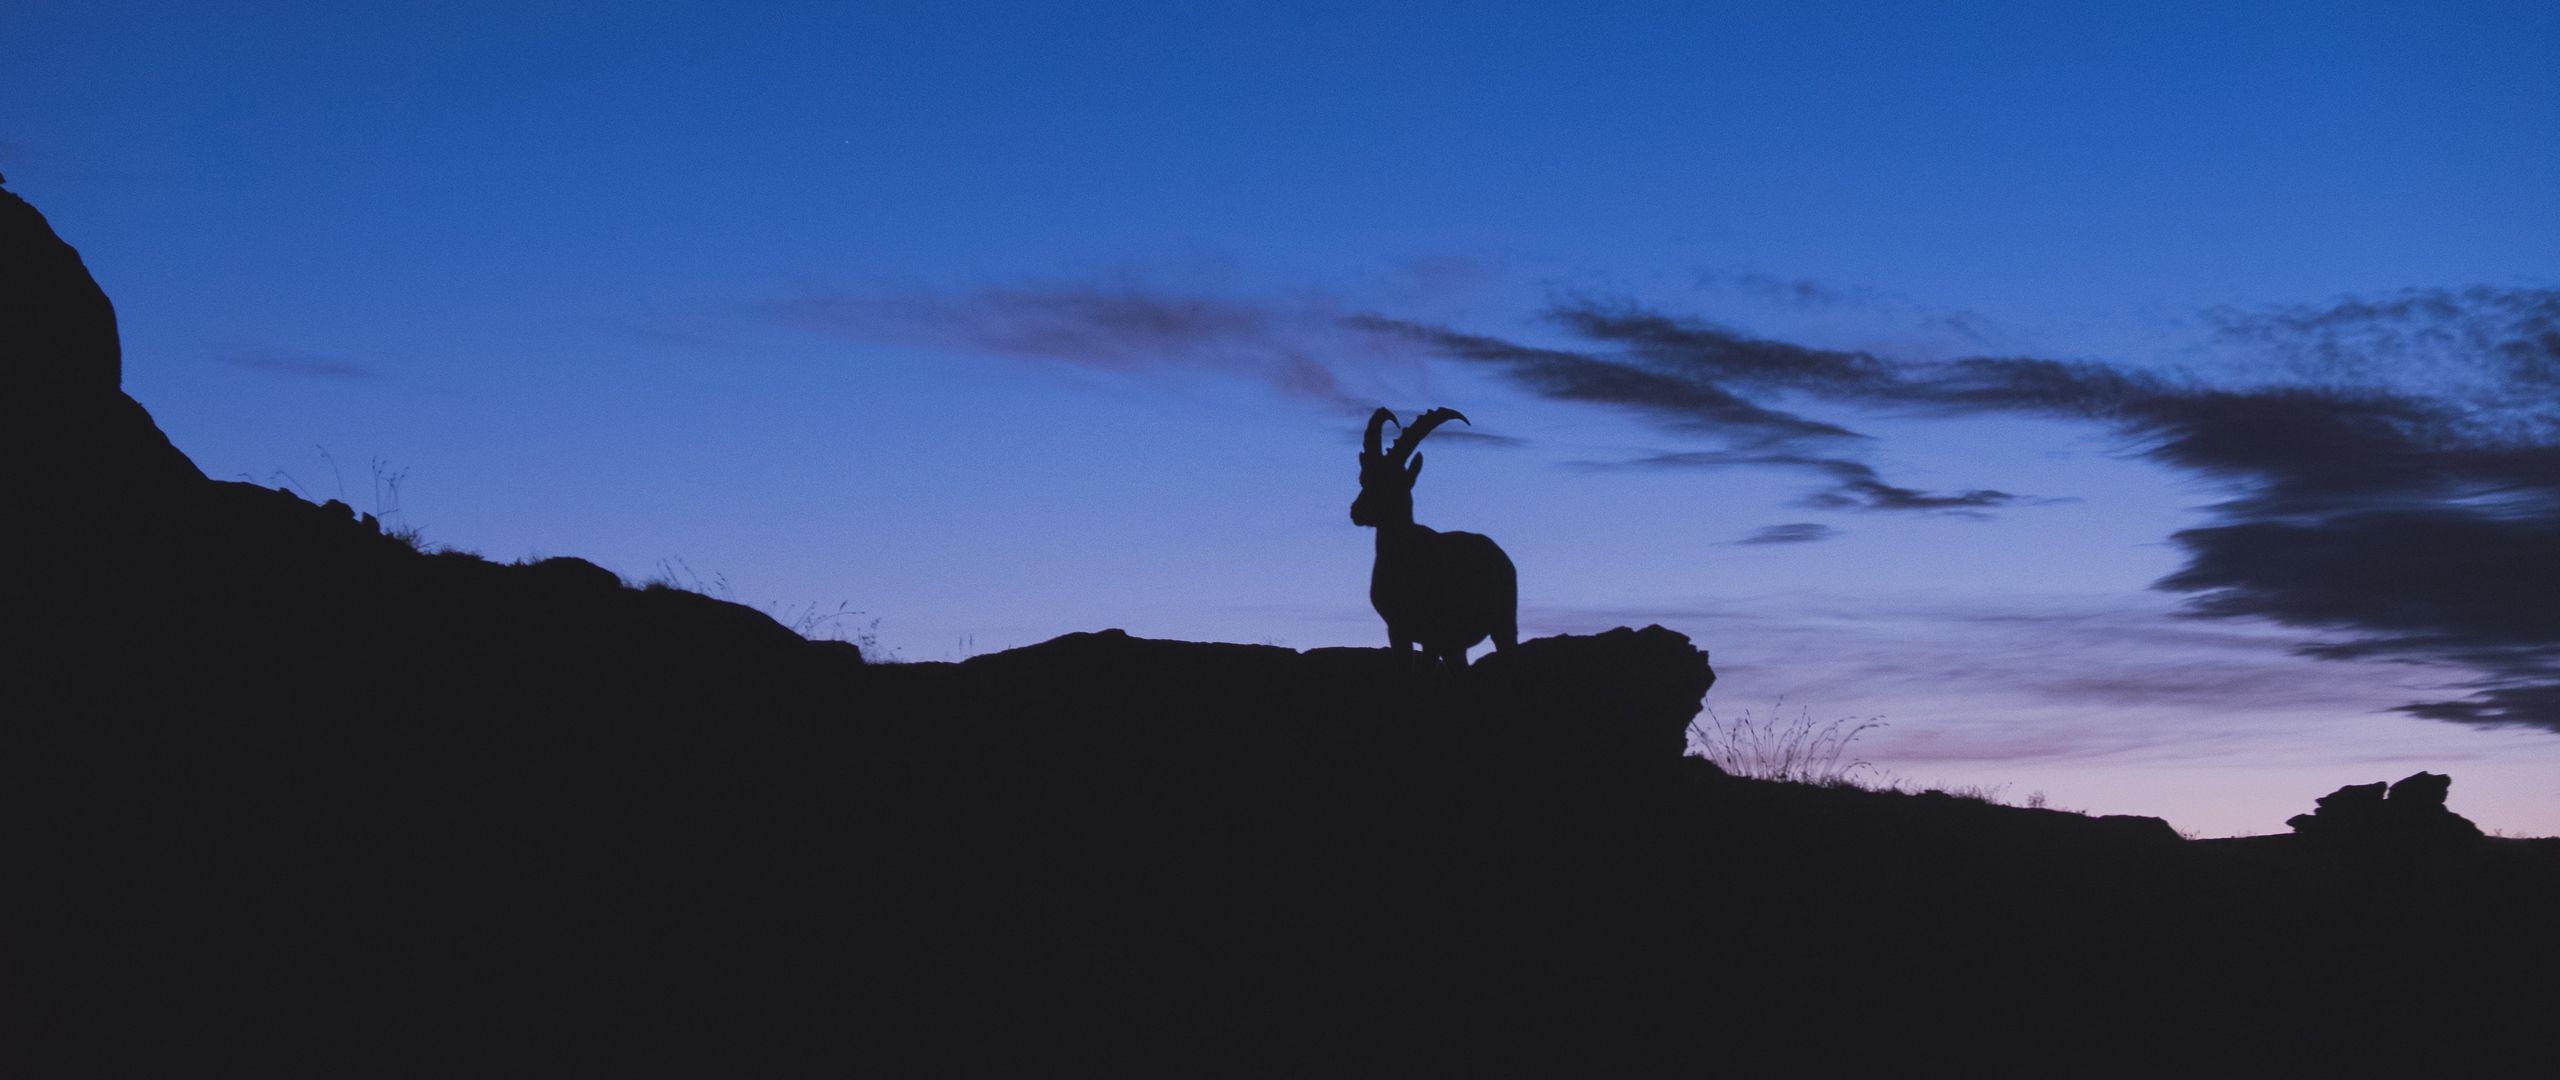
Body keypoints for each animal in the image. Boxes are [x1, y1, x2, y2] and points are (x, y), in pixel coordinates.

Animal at [1351, 407, 1518, 670]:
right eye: (1363, 478)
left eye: (1394, 483)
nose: (1357, 511)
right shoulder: (1397, 629)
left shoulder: (1433, 634)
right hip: (1456, 645)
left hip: (1502, 623)